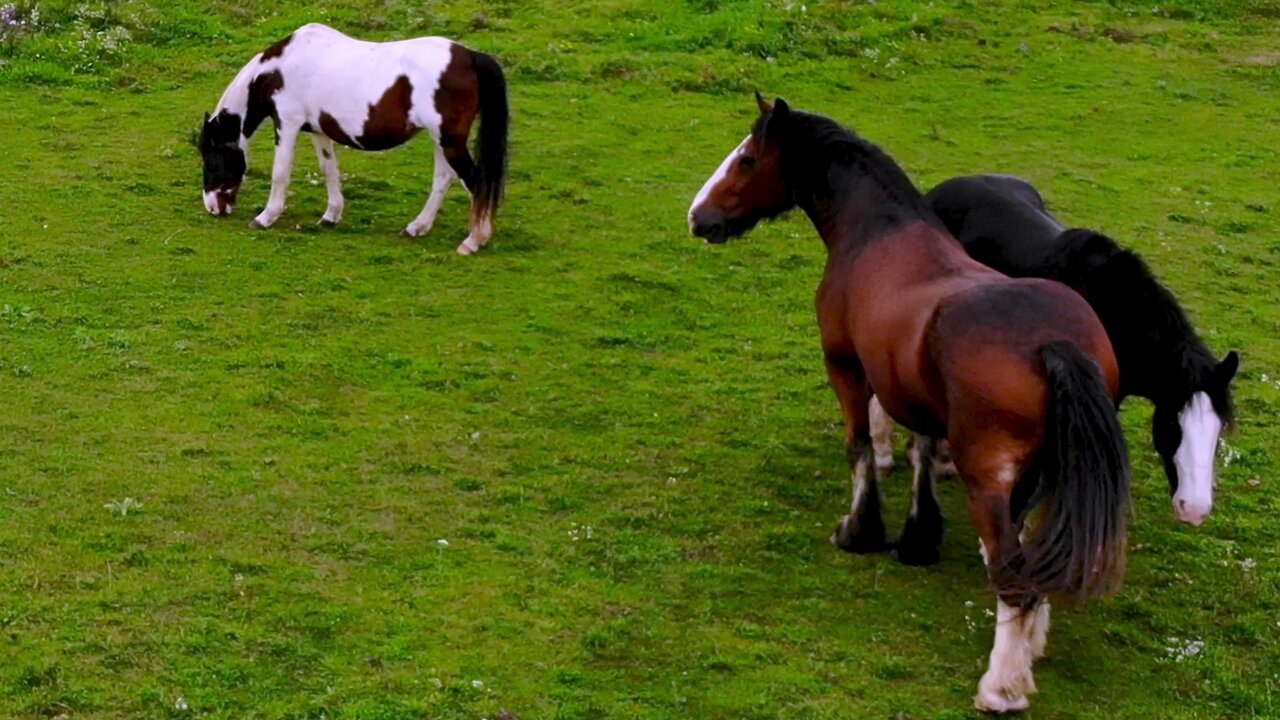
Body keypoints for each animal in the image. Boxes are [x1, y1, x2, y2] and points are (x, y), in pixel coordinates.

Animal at [197, 23, 506, 254]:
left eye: (212, 159)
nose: (212, 207)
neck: (277, 70)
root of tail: (470, 57)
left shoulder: (287, 124)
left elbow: (280, 172)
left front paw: (265, 217)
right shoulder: (318, 130)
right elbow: (329, 169)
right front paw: (331, 215)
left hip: (449, 141)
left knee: (476, 181)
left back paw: (474, 240)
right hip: (441, 140)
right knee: (443, 180)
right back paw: (417, 227)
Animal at [691, 96, 1131, 712]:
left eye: (749, 159)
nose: (698, 217)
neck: (878, 233)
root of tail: (1055, 345)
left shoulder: (846, 369)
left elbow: (858, 450)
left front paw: (860, 533)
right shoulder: (918, 399)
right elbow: (921, 457)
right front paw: (917, 539)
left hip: (989, 483)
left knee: (1014, 581)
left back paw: (1001, 688)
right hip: (1045, 479)